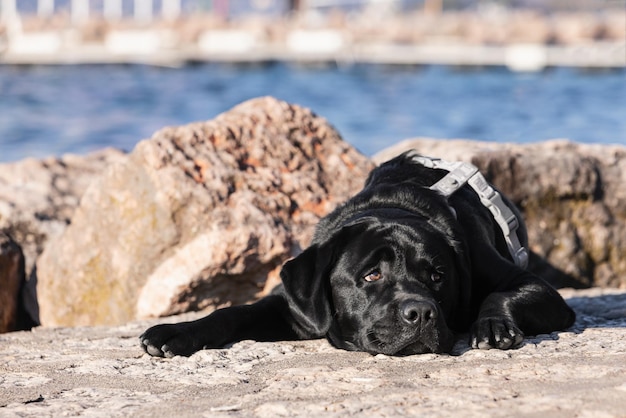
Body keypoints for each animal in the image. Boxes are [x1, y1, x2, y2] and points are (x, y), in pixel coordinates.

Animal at [139, 152, 572, 358]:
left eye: (437, 276)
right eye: (371, 275)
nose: (421, 312)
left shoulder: (531, 286)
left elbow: (501, 294)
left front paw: (493, 325)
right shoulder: (293, 306)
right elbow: (231, 312)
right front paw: (175, 332)